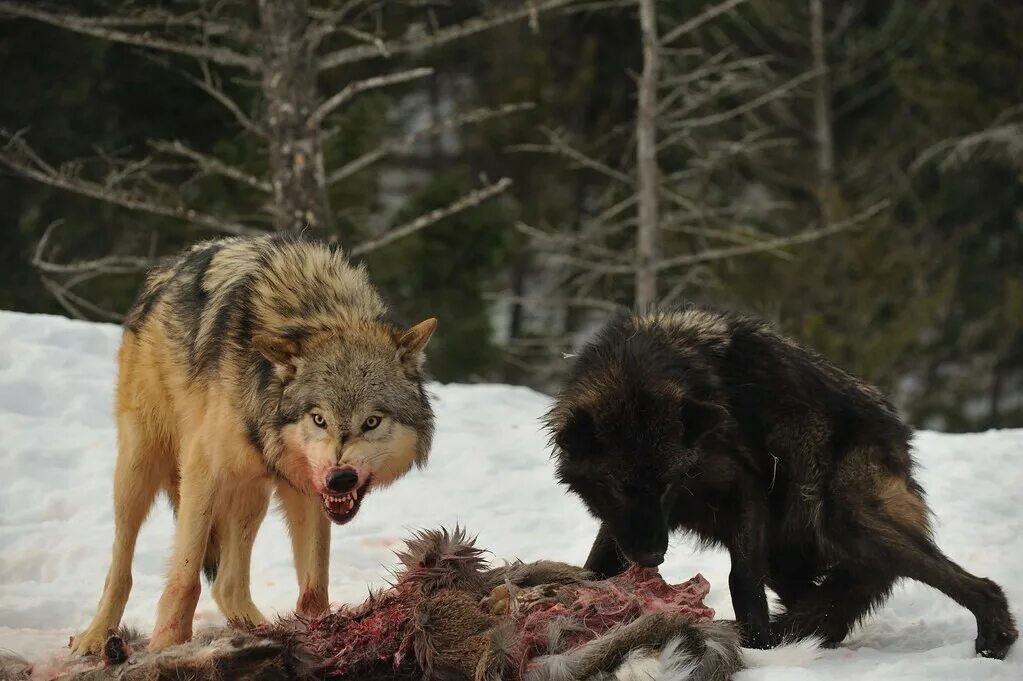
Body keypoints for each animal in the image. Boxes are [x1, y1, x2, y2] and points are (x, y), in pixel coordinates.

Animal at [70, 233, 437, 654]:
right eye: (319, 418)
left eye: (371, 421)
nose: (340, 478)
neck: (314, 311)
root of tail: (163, 272)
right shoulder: (202, 474)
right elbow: (185, 580)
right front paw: (167, 647)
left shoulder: (306, 491)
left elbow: (315, 587)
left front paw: (317, 636)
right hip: (140, 469)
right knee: (122, 566)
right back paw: (96, 635)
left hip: (252, 494)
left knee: (228, 584)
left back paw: (258, 630)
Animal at [544, 308, 1014, 658]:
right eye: (618, 486)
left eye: (666, 484)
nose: (652, 557)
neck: (640, 370)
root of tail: (899, 436)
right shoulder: (626, 525)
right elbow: (596, 566)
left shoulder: (745, 492)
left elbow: (741, 578)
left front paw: (757, 646)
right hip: (794, 550)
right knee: (829, 605)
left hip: (840, 519)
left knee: (971, 583)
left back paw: (996, 636)